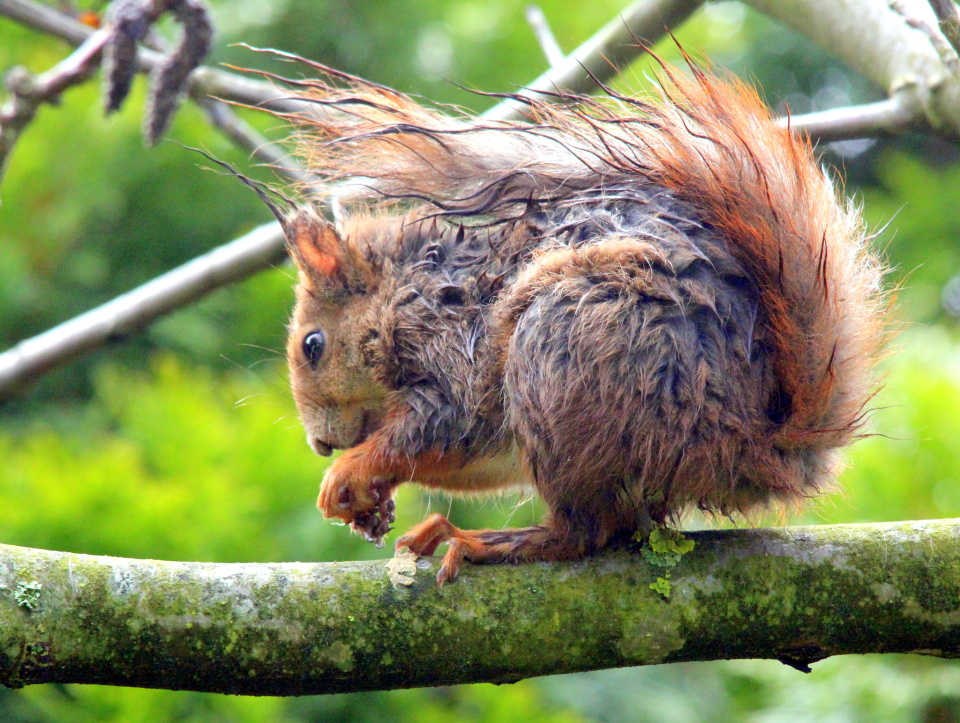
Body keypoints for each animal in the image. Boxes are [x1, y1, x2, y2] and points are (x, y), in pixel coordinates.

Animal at [265, 54, 889, 585]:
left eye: (313, 345)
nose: (321, 445)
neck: (403, 294)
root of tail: (750, 442)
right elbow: (473, 459)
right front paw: (372, 501)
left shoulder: (452, 350)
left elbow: (446, 427)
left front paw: (349, 474)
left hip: (561, 353)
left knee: (586, 533)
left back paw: (486, 541)